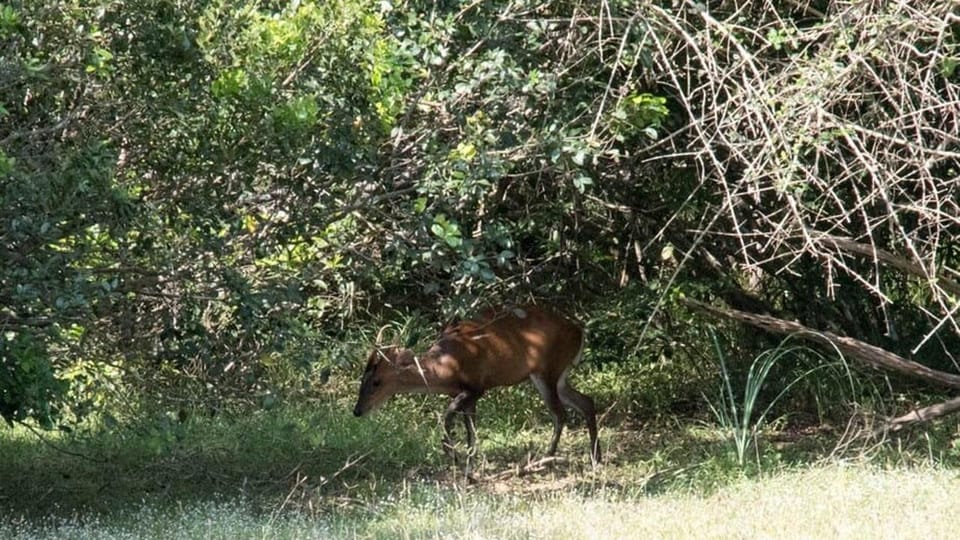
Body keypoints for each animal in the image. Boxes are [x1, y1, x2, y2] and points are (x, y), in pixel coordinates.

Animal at [352, 306, 600, 474]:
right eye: (362, 380)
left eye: (377, 382)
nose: (357, 411)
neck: (444, 367)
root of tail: (580, 331)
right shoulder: (466, 395)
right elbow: (471, 431)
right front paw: (469, 469)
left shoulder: (476, 387)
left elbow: (449, 415)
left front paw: (452, 453)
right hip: (559, 375)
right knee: (586, 402)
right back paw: (594, 456)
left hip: (547, 369)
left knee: (560, 413)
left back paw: (543, 460)